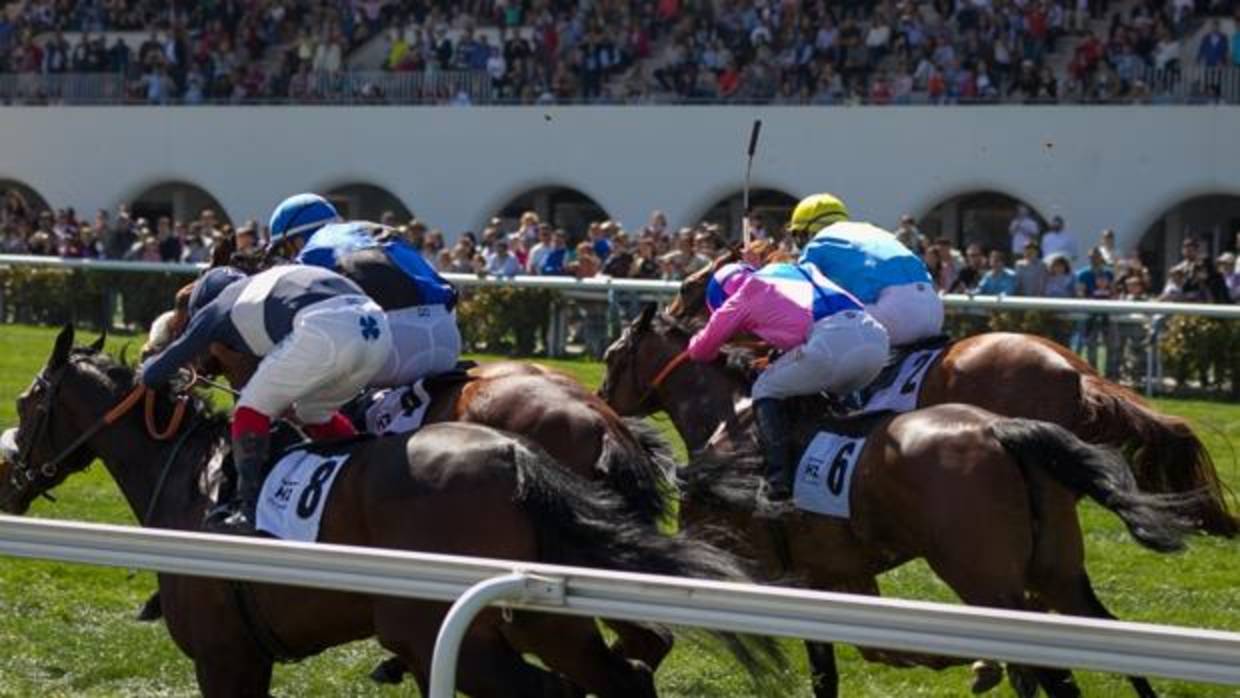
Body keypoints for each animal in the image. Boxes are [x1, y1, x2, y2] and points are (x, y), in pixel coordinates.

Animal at [0, 327, 783, 698]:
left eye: (27, 402)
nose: (9, 474)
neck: (194, 480)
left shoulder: (226, 656)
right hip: (547, 614)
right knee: (626, 669)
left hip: (441, 629)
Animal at [595, 308, 1195, 698]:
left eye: (611, 355)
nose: (601, 404)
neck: (730, 420)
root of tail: (1003, 430)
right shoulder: (826, 575)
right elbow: (833, 669)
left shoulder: (750, 566)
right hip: (1056, 569)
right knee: (1101, 641)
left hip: (985, 580)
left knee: (1045, 668)